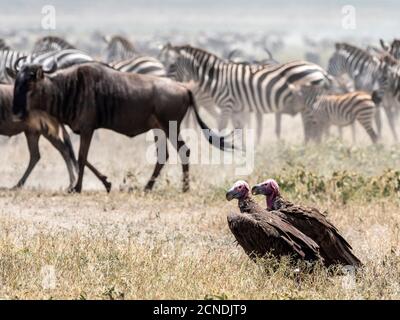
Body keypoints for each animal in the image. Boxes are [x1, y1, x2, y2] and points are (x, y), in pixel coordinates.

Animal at [159, 43, 332, 142]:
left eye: (172, 64)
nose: (165, 82)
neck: (217, 78)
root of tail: (320, 70)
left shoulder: (227, 106)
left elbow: (221, 129)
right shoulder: (237, 109)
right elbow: (239, 131)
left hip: (309, 105)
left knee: (314, 130)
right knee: (314, 130)